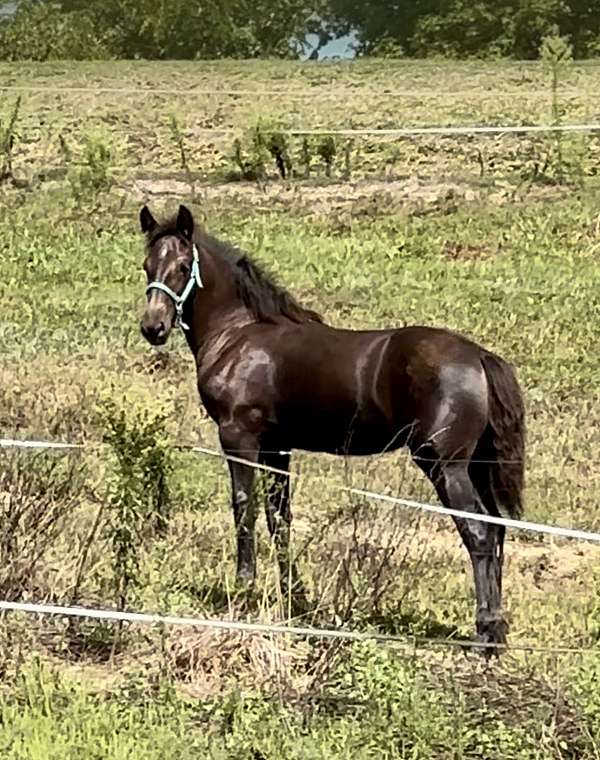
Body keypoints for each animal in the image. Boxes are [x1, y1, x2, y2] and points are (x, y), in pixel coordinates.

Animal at [139, 202, 524, 648]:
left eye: (183, 266)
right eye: (147, 265)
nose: (153, 327)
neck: (238, 336)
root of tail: (478, 356)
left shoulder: (239, 439)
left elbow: (244, 509)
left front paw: (245, 589)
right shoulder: (277, 448)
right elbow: (279, 517)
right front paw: (294, 597)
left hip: (446, 467)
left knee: (479, 534)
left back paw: (485, 633)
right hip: (477, 467)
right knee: (496, 531)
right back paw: (498, 628)